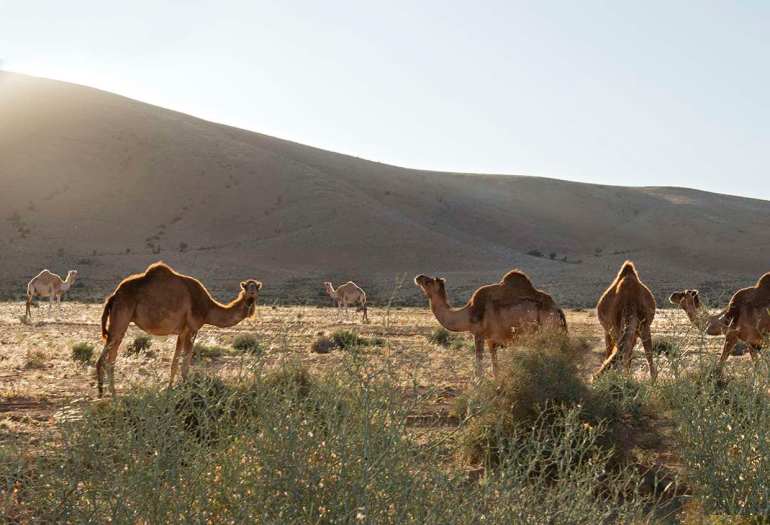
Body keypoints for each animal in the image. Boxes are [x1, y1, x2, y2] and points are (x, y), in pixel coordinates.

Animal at [97, 262, 260, 398]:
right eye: (247, 287)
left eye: (257, 287)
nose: (251, 294)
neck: (208, 309)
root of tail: (113, 296)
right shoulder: (192, 329)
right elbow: (185, 365)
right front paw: (188, 391)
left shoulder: (182, 332)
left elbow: (174, 364)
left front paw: (170, 389)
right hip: (121, 316)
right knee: (105, 358)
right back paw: (106, 394)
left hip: (120, 321)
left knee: (111, 357)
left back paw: (109, 392)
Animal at [414, 270, 564, 376]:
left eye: (428, 281)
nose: (418, 277)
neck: (468, 313)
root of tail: (558, 310)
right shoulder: (491, 340)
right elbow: (495, 366)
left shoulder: (478, 334)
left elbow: (479, 362)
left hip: (549, 329)